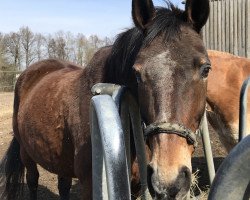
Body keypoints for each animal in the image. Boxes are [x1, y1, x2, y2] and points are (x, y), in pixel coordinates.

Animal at [0, 0, 211, 200]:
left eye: (206, 69)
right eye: (137, 73)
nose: (169, 181)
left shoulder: (135, 187)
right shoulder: (90, 185)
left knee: (63, 185)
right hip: (26, 153)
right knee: (32, 181)